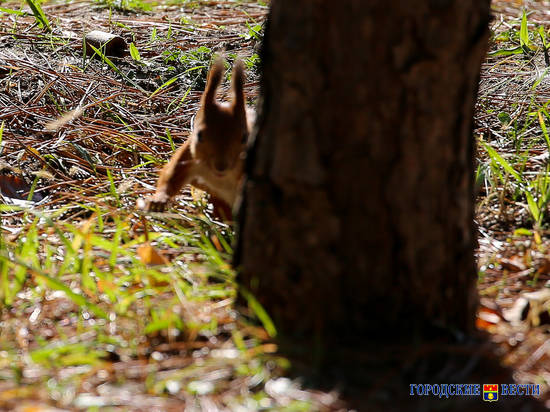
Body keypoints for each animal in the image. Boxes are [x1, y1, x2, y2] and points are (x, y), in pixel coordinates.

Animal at [141, 59, 256, 219]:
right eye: (200, 135)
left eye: (245, 138)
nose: (221, 166)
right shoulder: (188, 154)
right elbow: (171, 174)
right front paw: (158, 200)